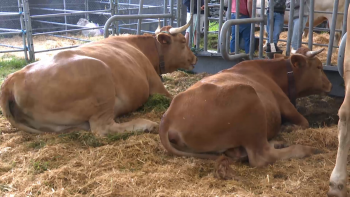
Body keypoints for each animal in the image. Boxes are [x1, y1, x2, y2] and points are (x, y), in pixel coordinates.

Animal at [160, 47, 332, 179]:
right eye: (318, 67)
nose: (330, 84)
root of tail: (168, 117)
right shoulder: (284, 103)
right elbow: (304, 122)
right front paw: (289, 127)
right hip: (249, 98)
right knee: (261, 156)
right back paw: (307, 149)